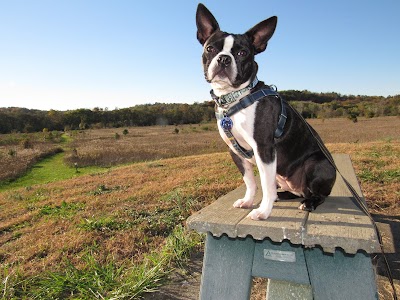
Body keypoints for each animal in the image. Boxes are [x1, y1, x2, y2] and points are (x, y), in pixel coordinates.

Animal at [195, 3, 336, 220]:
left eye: (242, 53)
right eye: (210, 48)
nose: (224, 59)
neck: (236, 97)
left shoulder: (264, 149)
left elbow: (265, 184)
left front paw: (263, 211)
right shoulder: (235, 151)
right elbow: (250, 181)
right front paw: (248, 201)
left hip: (316, 164)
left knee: (318, 194)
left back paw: (309, 202)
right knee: (294, 190)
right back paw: (284, 195)